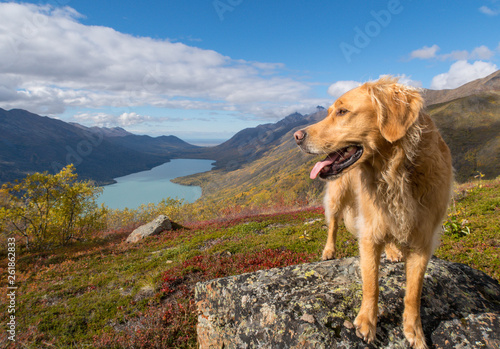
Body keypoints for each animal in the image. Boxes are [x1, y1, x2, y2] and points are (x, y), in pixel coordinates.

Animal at [292, 77, 454, 348]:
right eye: (329, 111)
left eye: (342, 112)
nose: (296, 136)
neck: (395, 173)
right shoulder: (369, 232)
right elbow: (371, 283)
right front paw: (367, 322)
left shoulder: (423, 241)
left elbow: (413, 292)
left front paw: (414, 332)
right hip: (337, 197)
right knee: (333, 224)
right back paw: (329, 251)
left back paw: (393, 251)